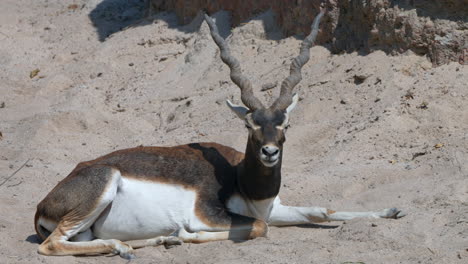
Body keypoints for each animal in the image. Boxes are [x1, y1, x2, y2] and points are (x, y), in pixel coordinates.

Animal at [34, 9, 404, 258]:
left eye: (284, 124)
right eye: (250, 125)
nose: (270, 152)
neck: (243, 180)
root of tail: (44, 202)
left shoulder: (272, 208)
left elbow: (321, 210)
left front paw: (391, 211)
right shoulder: (212, 215)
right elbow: (257, 228)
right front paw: (185, 234)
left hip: (87, 230)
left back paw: (148, 242)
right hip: (101, 189)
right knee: (51, 246)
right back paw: (131, 245)